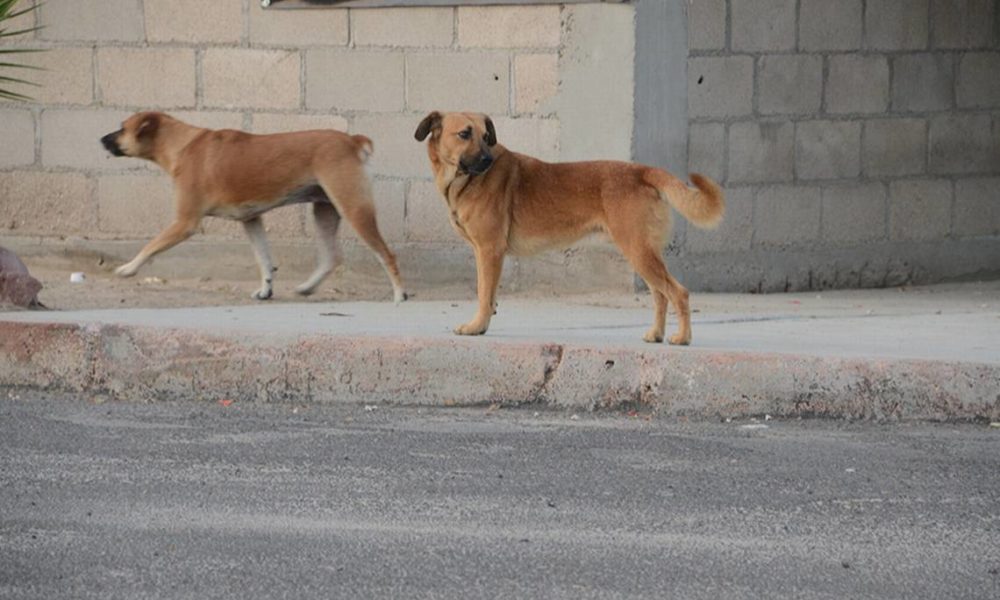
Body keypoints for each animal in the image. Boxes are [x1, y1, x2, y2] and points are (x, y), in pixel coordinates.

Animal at [101, 111, 406, 304]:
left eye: (122, 127)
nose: (101, 139)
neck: (182, 144)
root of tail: (353, 141)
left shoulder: (184, 223)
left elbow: (150, 246)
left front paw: (128, 268)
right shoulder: (252, 220)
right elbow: (264, 260)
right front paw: (265, 290)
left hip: (354, 209)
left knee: (387, 254)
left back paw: (399, 295)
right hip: (325, 212)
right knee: (331, 257)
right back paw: (307, 287)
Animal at [410, 110, 724, 344]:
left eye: (486, 136)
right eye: (464, 134)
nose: (488, 160)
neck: (464, 180)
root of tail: (643, 171)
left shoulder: (489, 251)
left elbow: (484, 292)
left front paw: (477, 326)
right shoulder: (484, 253)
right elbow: (487, 293)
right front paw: (483, 322)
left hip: (639, 251)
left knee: (678, 292)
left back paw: (683, 338)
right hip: (642, 254)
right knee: (661, 295)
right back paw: (656, 334)